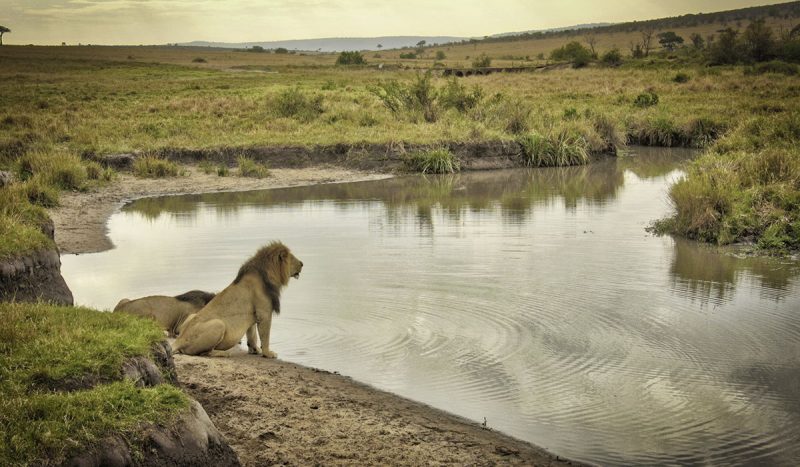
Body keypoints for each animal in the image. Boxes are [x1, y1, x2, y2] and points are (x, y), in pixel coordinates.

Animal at [172, 241, 302, 358]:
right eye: (292, 258)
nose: (302, 263)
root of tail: (180, 340)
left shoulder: (253, 314)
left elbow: (252, 334)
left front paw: (255, 350)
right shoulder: (264, 313)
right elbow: (265, 336)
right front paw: (268, 353)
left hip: (191, 316)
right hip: (219, 324)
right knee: (205, 352)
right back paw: (223, 353)